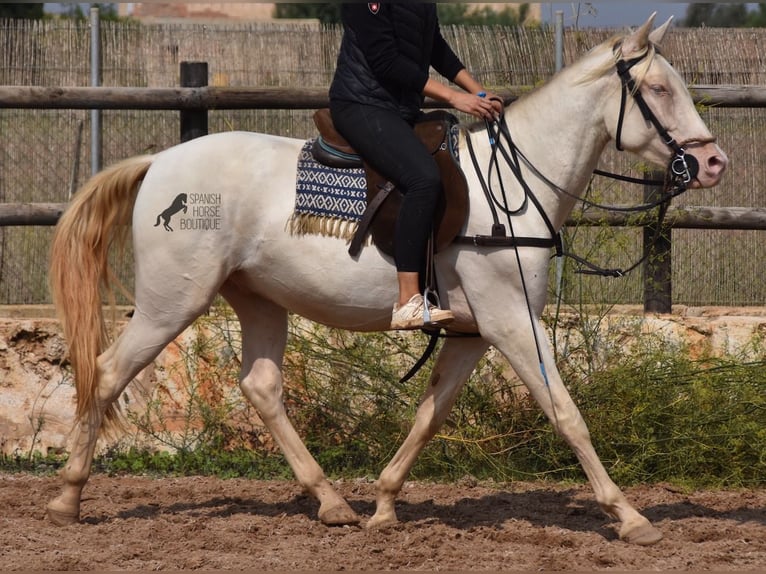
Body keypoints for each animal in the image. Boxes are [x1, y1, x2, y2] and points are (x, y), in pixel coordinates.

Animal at [46, 15, 728, 548]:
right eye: (659, 88)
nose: (713, 162)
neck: (512, 186)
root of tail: (160, 162)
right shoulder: (513, 323)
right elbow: (566, 413)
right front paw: (630, 516)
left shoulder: (473, 334)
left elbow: (429, 414)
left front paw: (382, 504)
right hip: (172, 303)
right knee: (106, 372)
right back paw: (67, 499)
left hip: (260, 301)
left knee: (261, 387)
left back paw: (332, 504)